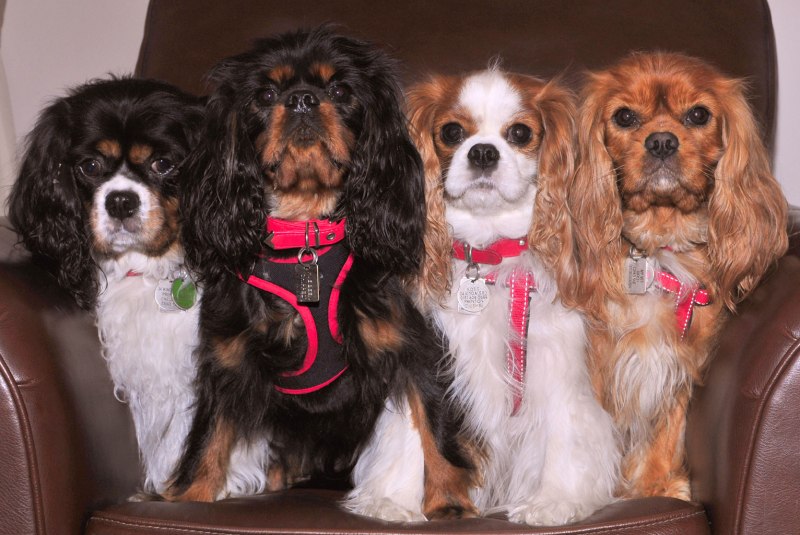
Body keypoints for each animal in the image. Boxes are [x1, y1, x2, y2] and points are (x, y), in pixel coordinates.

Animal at [168, 27, 476, 520]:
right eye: (265, 95)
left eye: (340, 91)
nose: (301, 100)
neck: (304, 229)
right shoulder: (227, 360)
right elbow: (208, 439)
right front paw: (189, 499)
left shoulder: (414, 348)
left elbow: (436, 425)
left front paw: (448, 501)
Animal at [405, 67, 620, 525]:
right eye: (451, 132)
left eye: (520, 133)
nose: (483, 152)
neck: (488, 250)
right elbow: (409, 434)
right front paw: (392, 501)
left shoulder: (557, 361)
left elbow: (566, 428)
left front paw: (554, 501)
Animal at [568, 51, 788, 499]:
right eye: (624, 117)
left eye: (698, 114)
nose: (662, 141)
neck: (658, 249)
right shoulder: (597, 361)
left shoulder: (678, 360)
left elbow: (667, 427)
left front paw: (654, 484)